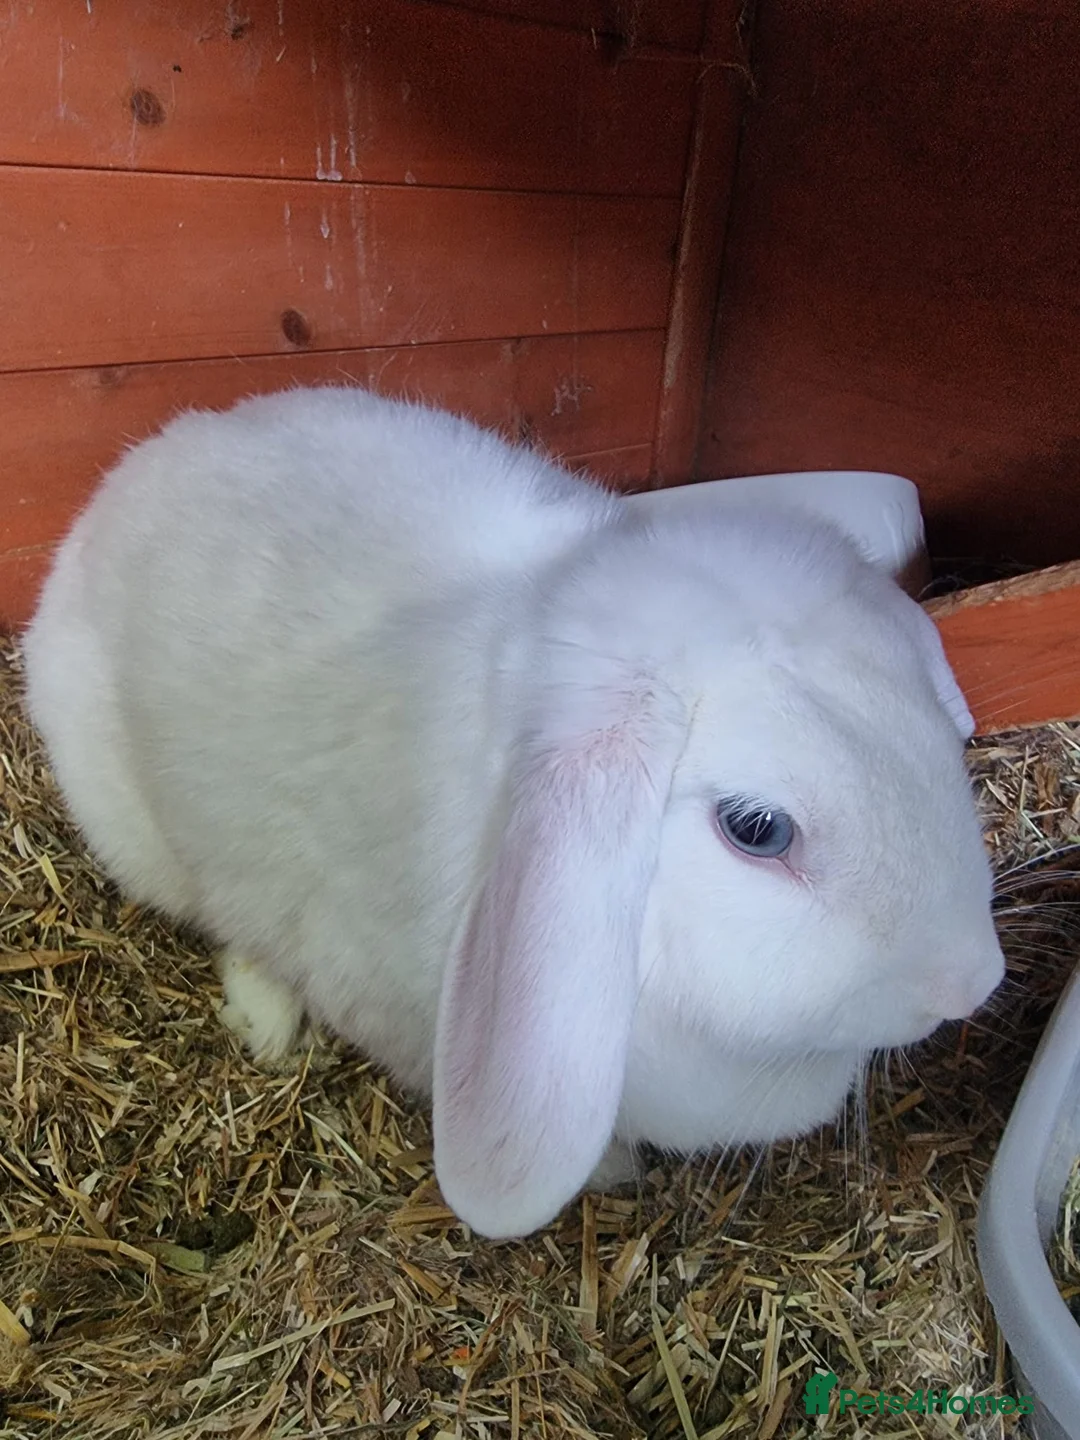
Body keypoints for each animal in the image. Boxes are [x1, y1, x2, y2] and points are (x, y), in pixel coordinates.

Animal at [22, 384, 1005, 1239]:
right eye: (755, 829)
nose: (973, 983)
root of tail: (137, 465)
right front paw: (613, 1170)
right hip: (141, 835)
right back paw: (267, 1024)